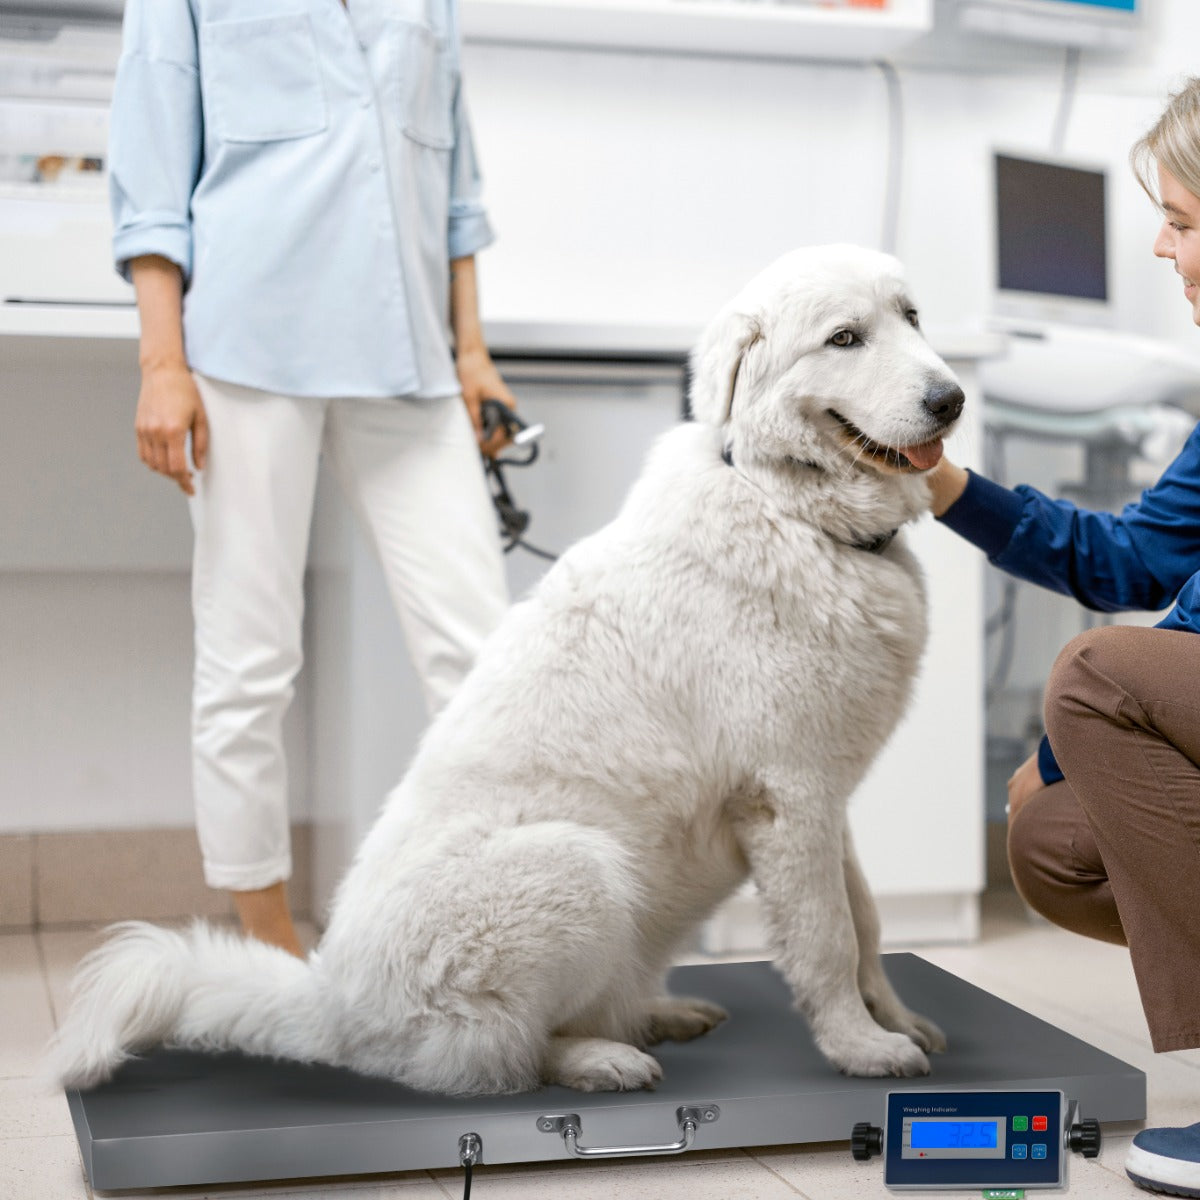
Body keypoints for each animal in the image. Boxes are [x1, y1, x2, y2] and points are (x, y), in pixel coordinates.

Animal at [49, 243, 964, 1099]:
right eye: (843, 338)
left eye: (912, 317)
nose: (951, 400)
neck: (794, 513)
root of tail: (330, 1004)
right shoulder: (788, 797)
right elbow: (826, 938)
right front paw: (860, 1048)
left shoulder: (824, 797)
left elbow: (867, 920)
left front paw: (897, 1018)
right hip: (576, 866)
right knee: (500, 1058)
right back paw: (604, 1058)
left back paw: (656, 1014)